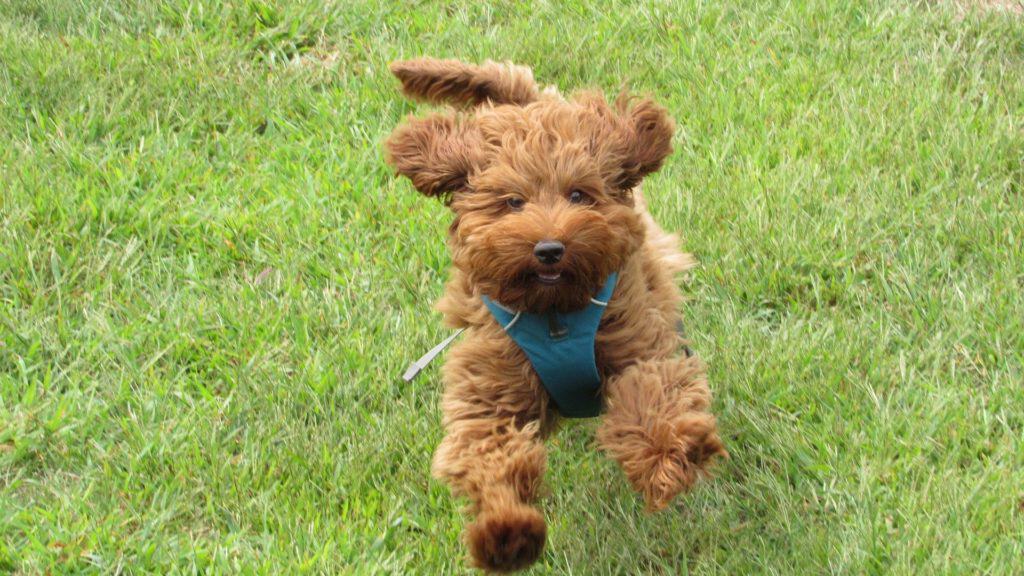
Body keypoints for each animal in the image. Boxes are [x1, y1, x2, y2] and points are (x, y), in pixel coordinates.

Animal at [385, 57, 729, 569]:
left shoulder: (634, 341)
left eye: (579, 195)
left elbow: (649, 398)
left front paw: (673, 458)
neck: (555, 315)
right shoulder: (491, 386)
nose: (549, 249)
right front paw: (507, 534)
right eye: (513, 202)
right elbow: (491, 454)